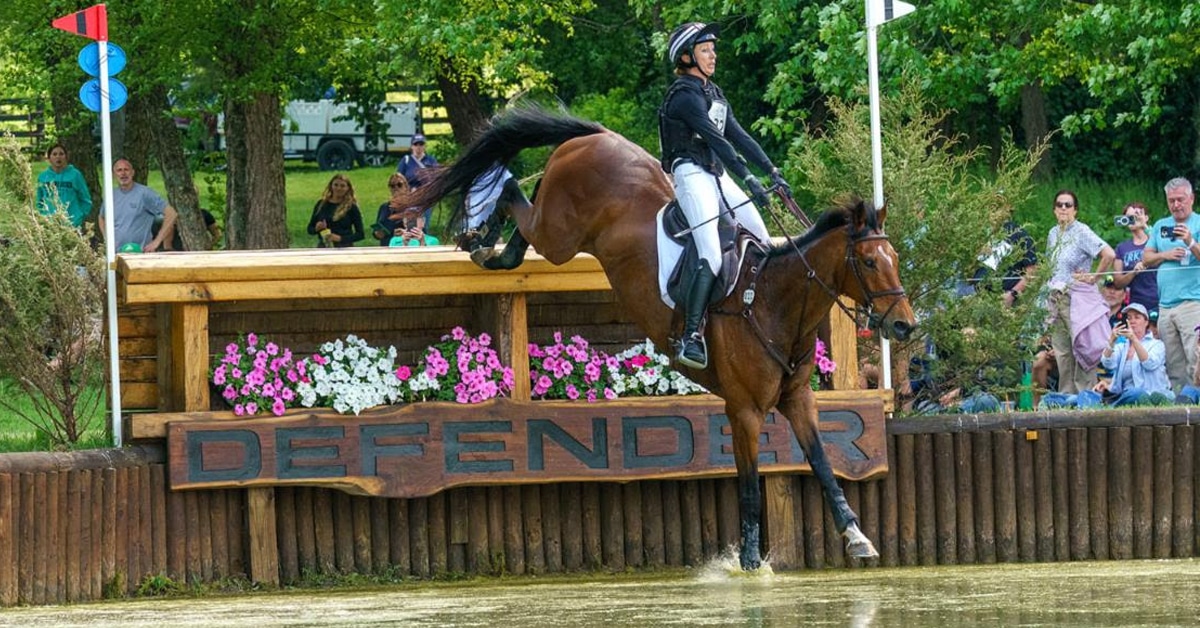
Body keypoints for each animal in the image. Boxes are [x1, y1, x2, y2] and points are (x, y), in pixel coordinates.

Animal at [409, 107, 916, 570]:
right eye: (869, 262)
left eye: (895, 257)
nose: (904, 325)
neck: (773, 300)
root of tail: (597, 136)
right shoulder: (744, 411)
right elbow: (750, 487)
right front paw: (751, 563)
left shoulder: (798, 400)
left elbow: (824, 466)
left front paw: (857, 538)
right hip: (559, 234)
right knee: (518, 197)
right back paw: (481, 233)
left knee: (521, 227)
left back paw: (488, 242)